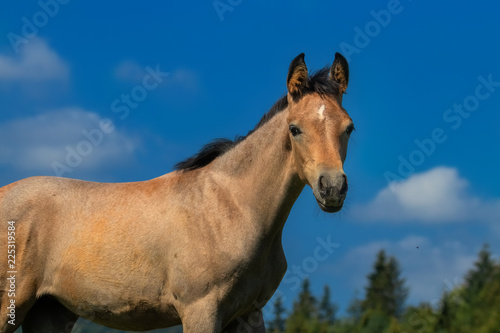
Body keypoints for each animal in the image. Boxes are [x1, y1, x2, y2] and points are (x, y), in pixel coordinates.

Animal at [0, 52, 354, 332]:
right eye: (295, 129)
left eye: (349, 128)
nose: (332, 187)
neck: (230, 206)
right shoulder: (201, 310)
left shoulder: (248, 315)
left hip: (49, 311)